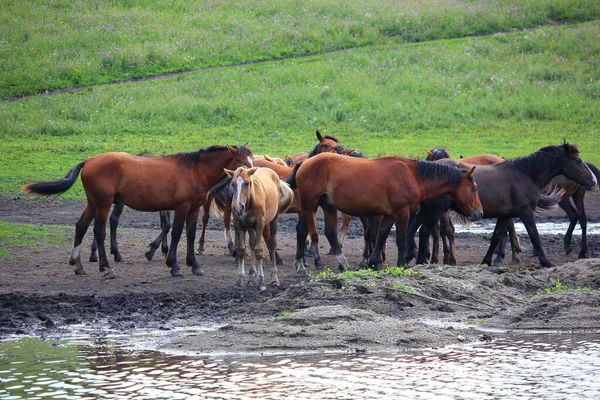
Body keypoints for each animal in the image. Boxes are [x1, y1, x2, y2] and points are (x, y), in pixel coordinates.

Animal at [22, 145, 253, 280]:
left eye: (251, 161)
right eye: (242, 162)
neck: (194, 170)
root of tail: (88, 161)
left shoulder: (194, 209)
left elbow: (190, 235)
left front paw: (194, 265)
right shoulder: (182, 207)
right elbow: (177, 234)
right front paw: (174, 265)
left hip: (93, 203)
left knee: (81, 226)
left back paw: (77, 263)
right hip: (103, 204)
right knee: (99, 232)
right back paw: (106, 267)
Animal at [286, 152, 482, 274]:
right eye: (473, 188)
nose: (479, 213)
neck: (412, 175)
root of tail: (304, 163)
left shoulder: (389, 215)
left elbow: (381, 237)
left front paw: (373, 262)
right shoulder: (402, 213)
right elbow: (401, 239)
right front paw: (401, 264)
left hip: (328, 206)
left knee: (330, 233)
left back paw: (343, 263)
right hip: (308, 205)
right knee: (302, 231)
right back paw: (300, 266)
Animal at [438, 142, 596, 268]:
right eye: (578, 160)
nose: (593, 181)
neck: (524, 176)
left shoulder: (505, 215)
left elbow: (496, 237)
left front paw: (487, 261)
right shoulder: (526, 213)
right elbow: (535, 236)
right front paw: (546, 262)